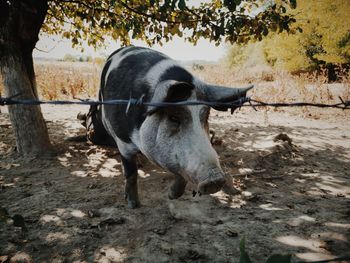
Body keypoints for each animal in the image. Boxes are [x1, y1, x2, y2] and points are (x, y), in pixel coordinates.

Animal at [95, 46, 253, 209]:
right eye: (174, 118)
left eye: (206, 116)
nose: (215, 179)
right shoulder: (123, 142)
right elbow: (131, 173)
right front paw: (133, 205)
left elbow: (179, 171)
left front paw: (171, 196)